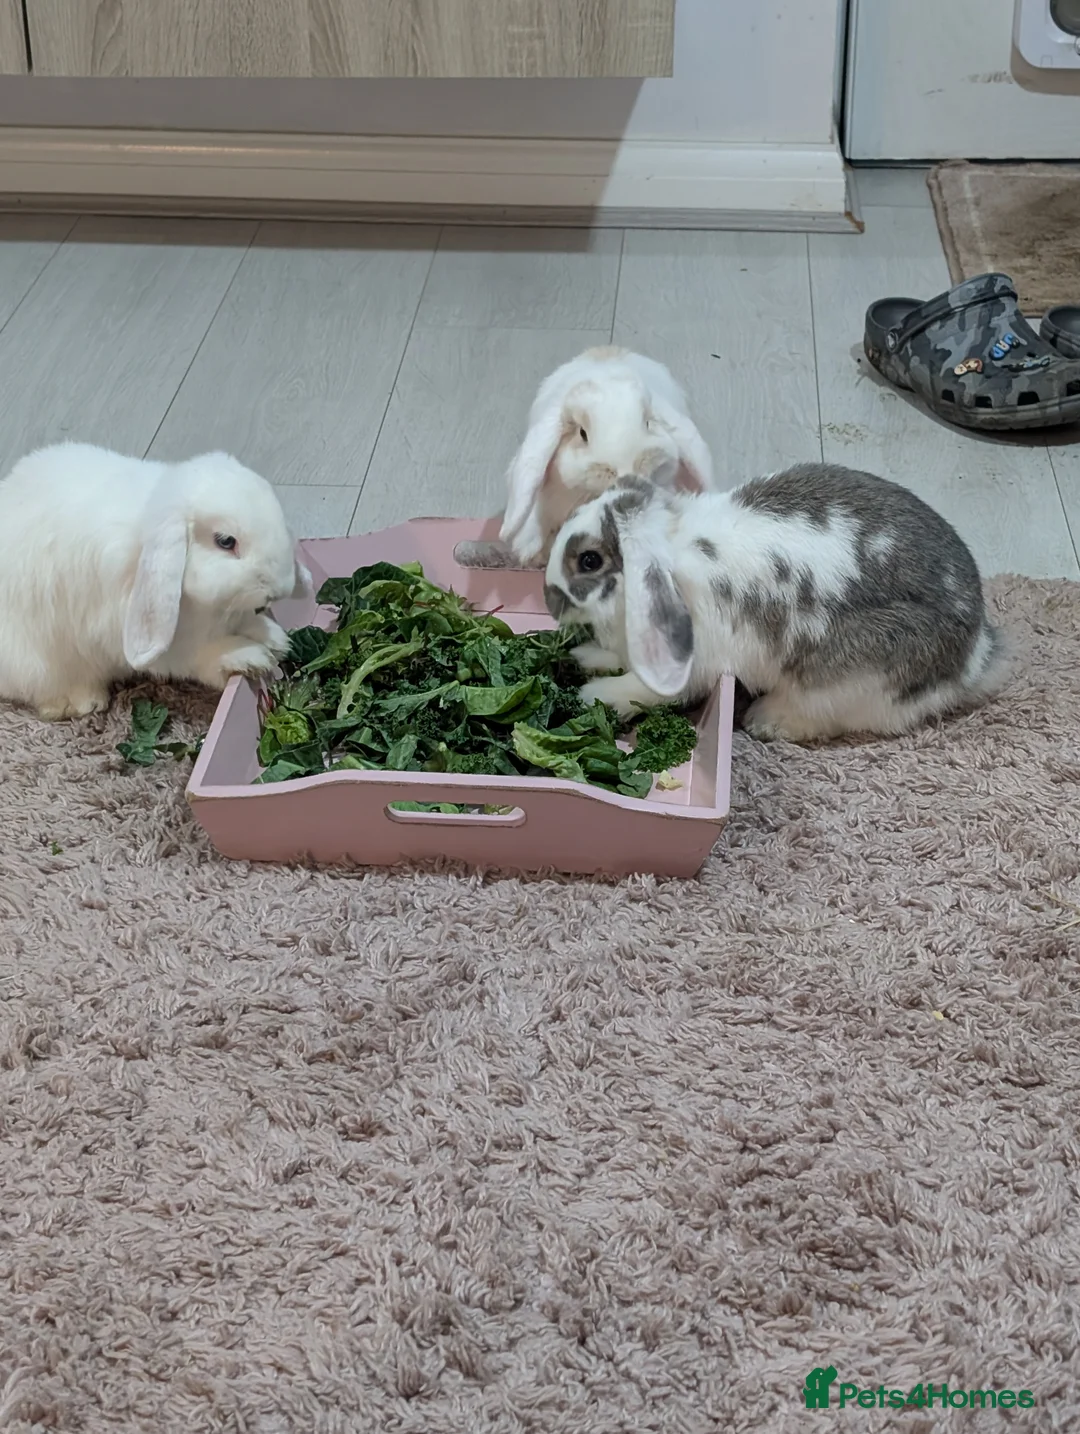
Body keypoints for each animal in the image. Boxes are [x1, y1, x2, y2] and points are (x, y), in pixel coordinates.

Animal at [0, 442, 313, 721]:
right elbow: (198, 656)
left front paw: (275, 639)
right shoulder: (157, 640)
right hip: (37, 664)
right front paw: (250, 657)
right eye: (225, 541)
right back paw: (83, 702)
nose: (280, 588)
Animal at [543, 462, 1009, 743]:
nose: (548, 598)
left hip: (848, 677)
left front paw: (594, 695)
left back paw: (764, 720)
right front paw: (586, 658)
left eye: (589, 560)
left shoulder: (694, 660)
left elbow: (644, 690)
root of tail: (977, 654)